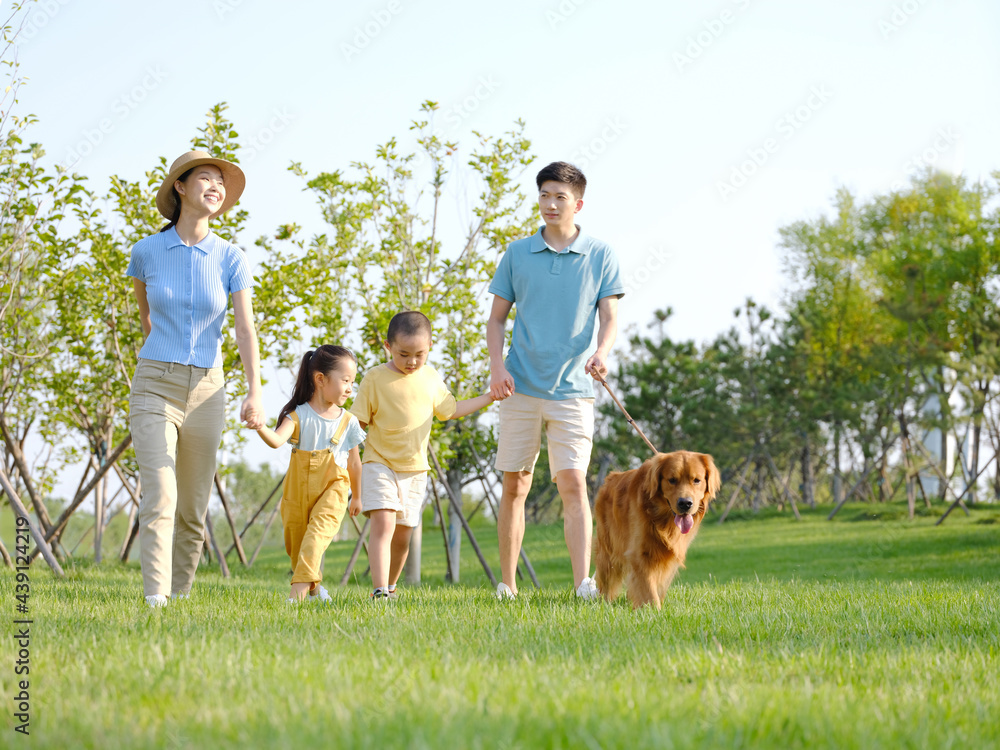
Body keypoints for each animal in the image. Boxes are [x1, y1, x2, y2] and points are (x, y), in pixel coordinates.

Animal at [592, 452, 720, 612]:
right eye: (672, 480)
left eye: (697, 480)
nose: (685, 503)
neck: (662, 519)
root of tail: (610, 478)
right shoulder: (639, 554)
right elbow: (648, 588)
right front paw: (654, 611)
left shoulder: (671, 554)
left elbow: (658, 585)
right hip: (608, 549)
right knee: (607, 580)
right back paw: (605, 602)